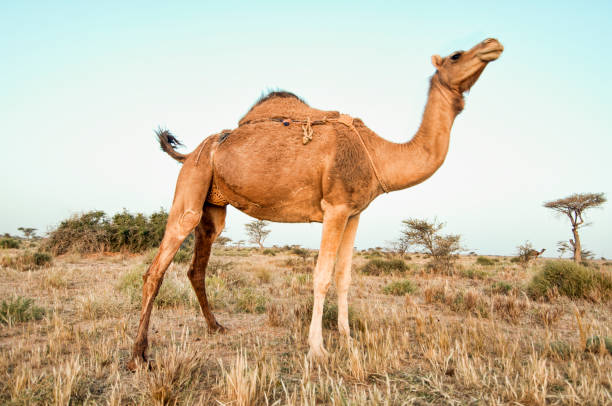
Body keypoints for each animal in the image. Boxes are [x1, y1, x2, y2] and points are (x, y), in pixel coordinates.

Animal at [126, 36, 504, 370]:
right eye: (456, 55)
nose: (493, 44)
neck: (378, 155)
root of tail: (191, 152)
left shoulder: (353, 213)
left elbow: (344, 276)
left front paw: (348, 338)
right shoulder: (334, 208)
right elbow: (322, 275)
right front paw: (317, 349)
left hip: (212, 205)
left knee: (198, 263)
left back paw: (215, 326)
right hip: (192, 183)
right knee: (156, 268)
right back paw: (139, 355)